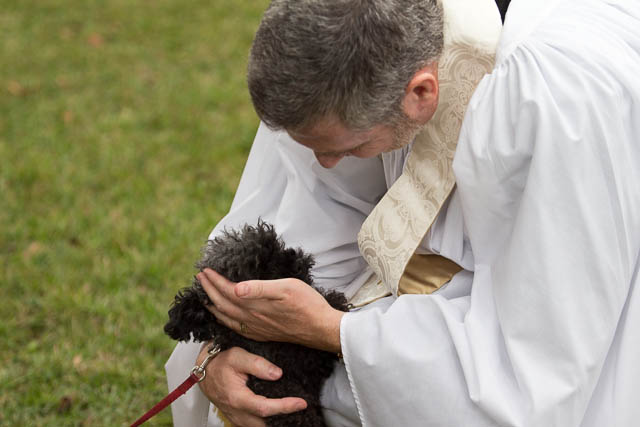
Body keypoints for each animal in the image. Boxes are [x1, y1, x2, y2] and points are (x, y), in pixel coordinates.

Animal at [162, 222, 348, 426]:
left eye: (276, 245)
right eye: (259, 265)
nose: (296, 258)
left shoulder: (312, 359)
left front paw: (333, 302)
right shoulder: (276, 386)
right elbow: (296, 410)